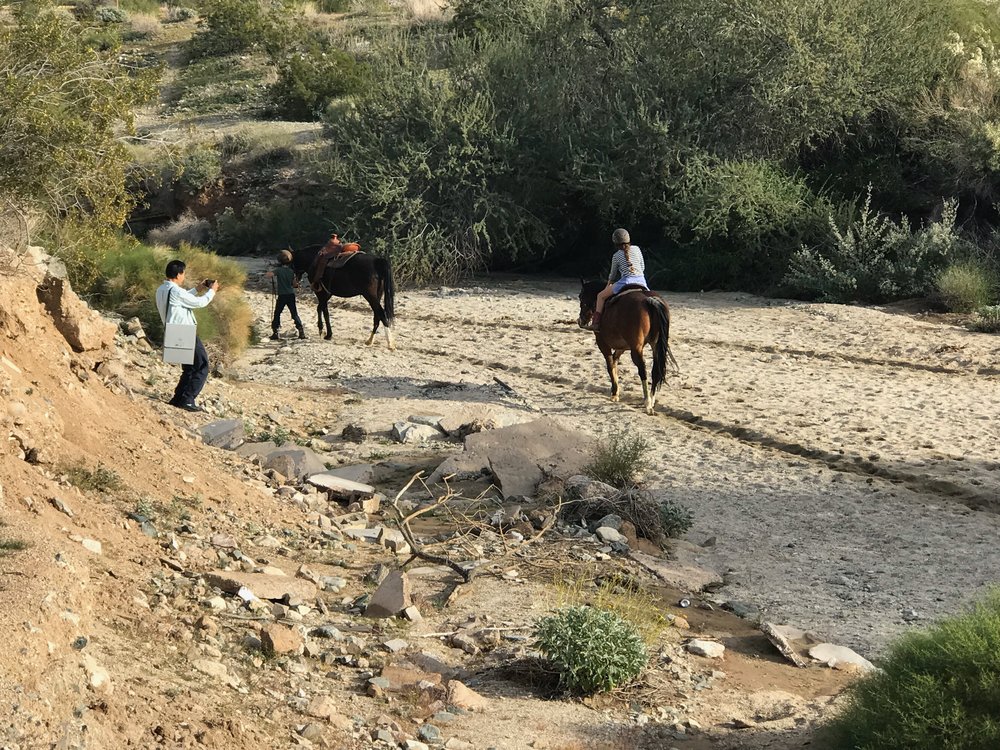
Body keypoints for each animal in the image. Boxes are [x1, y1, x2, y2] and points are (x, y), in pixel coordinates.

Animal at [580, 280, 680, 414]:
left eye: (580, 297)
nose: (581, 320)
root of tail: (649, 300)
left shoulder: (602, 343)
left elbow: (610, 365)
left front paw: (614, 393)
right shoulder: (622, 347)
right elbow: (614, 363)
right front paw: (615, 391)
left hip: (636, 349)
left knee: (642, 369)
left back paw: (647, 403)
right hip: (655, 346)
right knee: (655, 370)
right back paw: (651, 399)